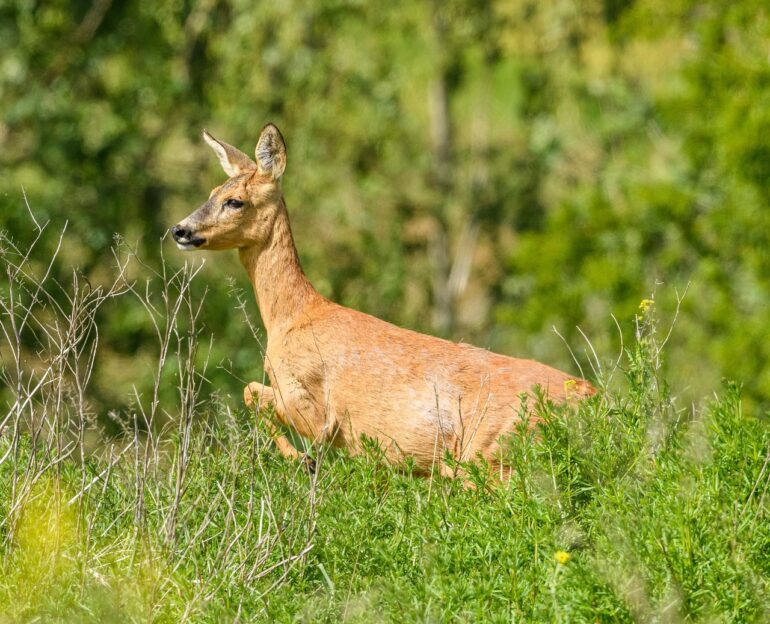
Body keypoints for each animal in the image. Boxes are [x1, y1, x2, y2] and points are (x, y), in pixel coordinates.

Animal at [170, 123, 594, 478]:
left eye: (235, 201)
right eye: (211, 194)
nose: (180, 229)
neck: (292, 318)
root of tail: (592, 397)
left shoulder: (313, 405)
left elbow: (252, 395)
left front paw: (303, 460)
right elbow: (249, 393)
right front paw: (302, 460)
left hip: (489, 454)